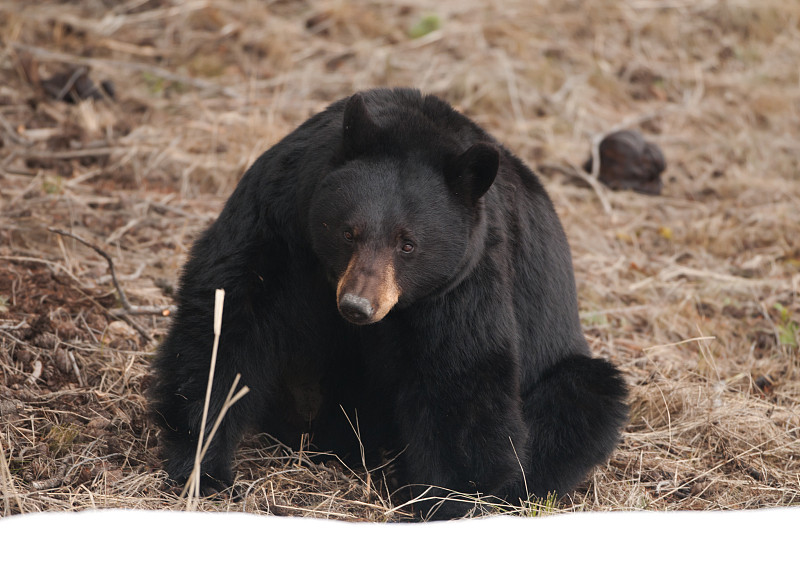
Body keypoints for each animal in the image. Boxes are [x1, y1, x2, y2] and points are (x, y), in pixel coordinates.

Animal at [148, 88, 624, 520]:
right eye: (348, 232)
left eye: (408, 244)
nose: (358, 306)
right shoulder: (280, 222)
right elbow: (230, 318)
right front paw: (205, 465)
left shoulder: (463, 281)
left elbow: (460, 376)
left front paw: (450, 500)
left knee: (584, 399)